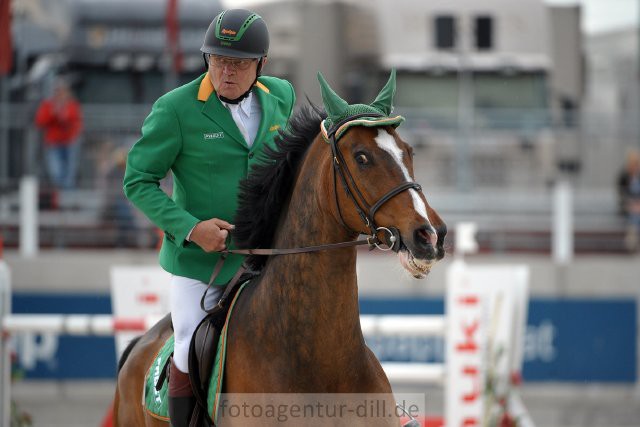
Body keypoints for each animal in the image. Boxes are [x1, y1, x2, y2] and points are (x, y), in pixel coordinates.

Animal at [114, 72, 444, 426]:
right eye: (361, 157)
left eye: (409, 152)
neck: (321, 364)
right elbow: (139, 181)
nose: (430, 235)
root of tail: (142, 342)